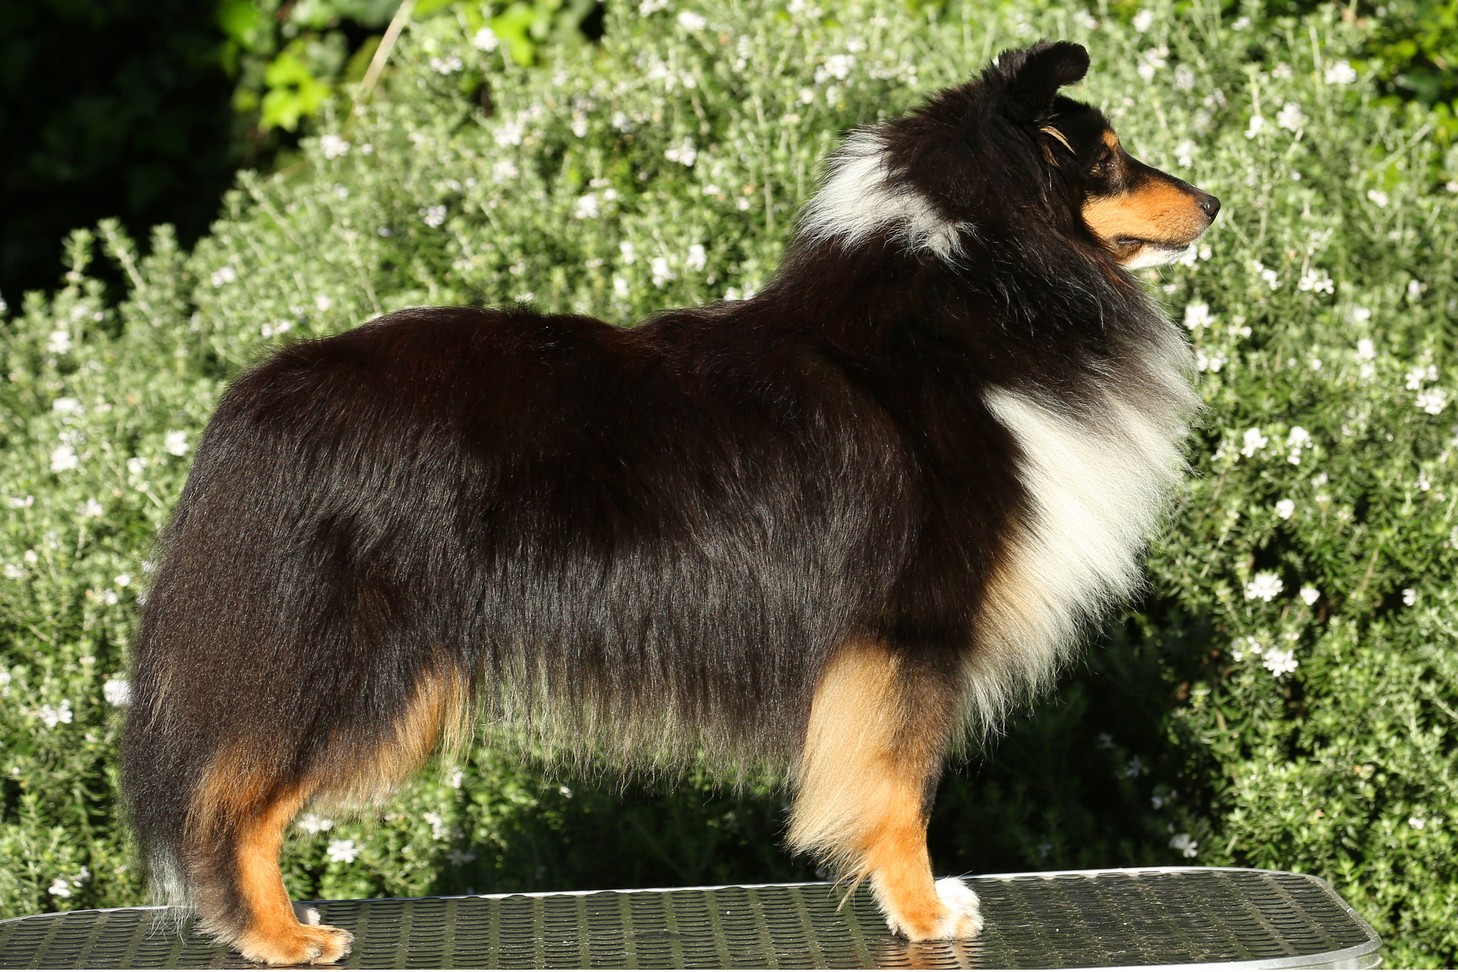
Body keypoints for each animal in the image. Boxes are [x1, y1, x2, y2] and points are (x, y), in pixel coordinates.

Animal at [121, 40, 1218, 965]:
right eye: (1107, 159)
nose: (1211, 200)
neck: (971, 293)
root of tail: (259, 396)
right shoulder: (906, 633)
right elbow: (898, 790)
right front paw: (925, 914)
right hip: (355, 664)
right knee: (229, 798)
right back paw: (277, 935)